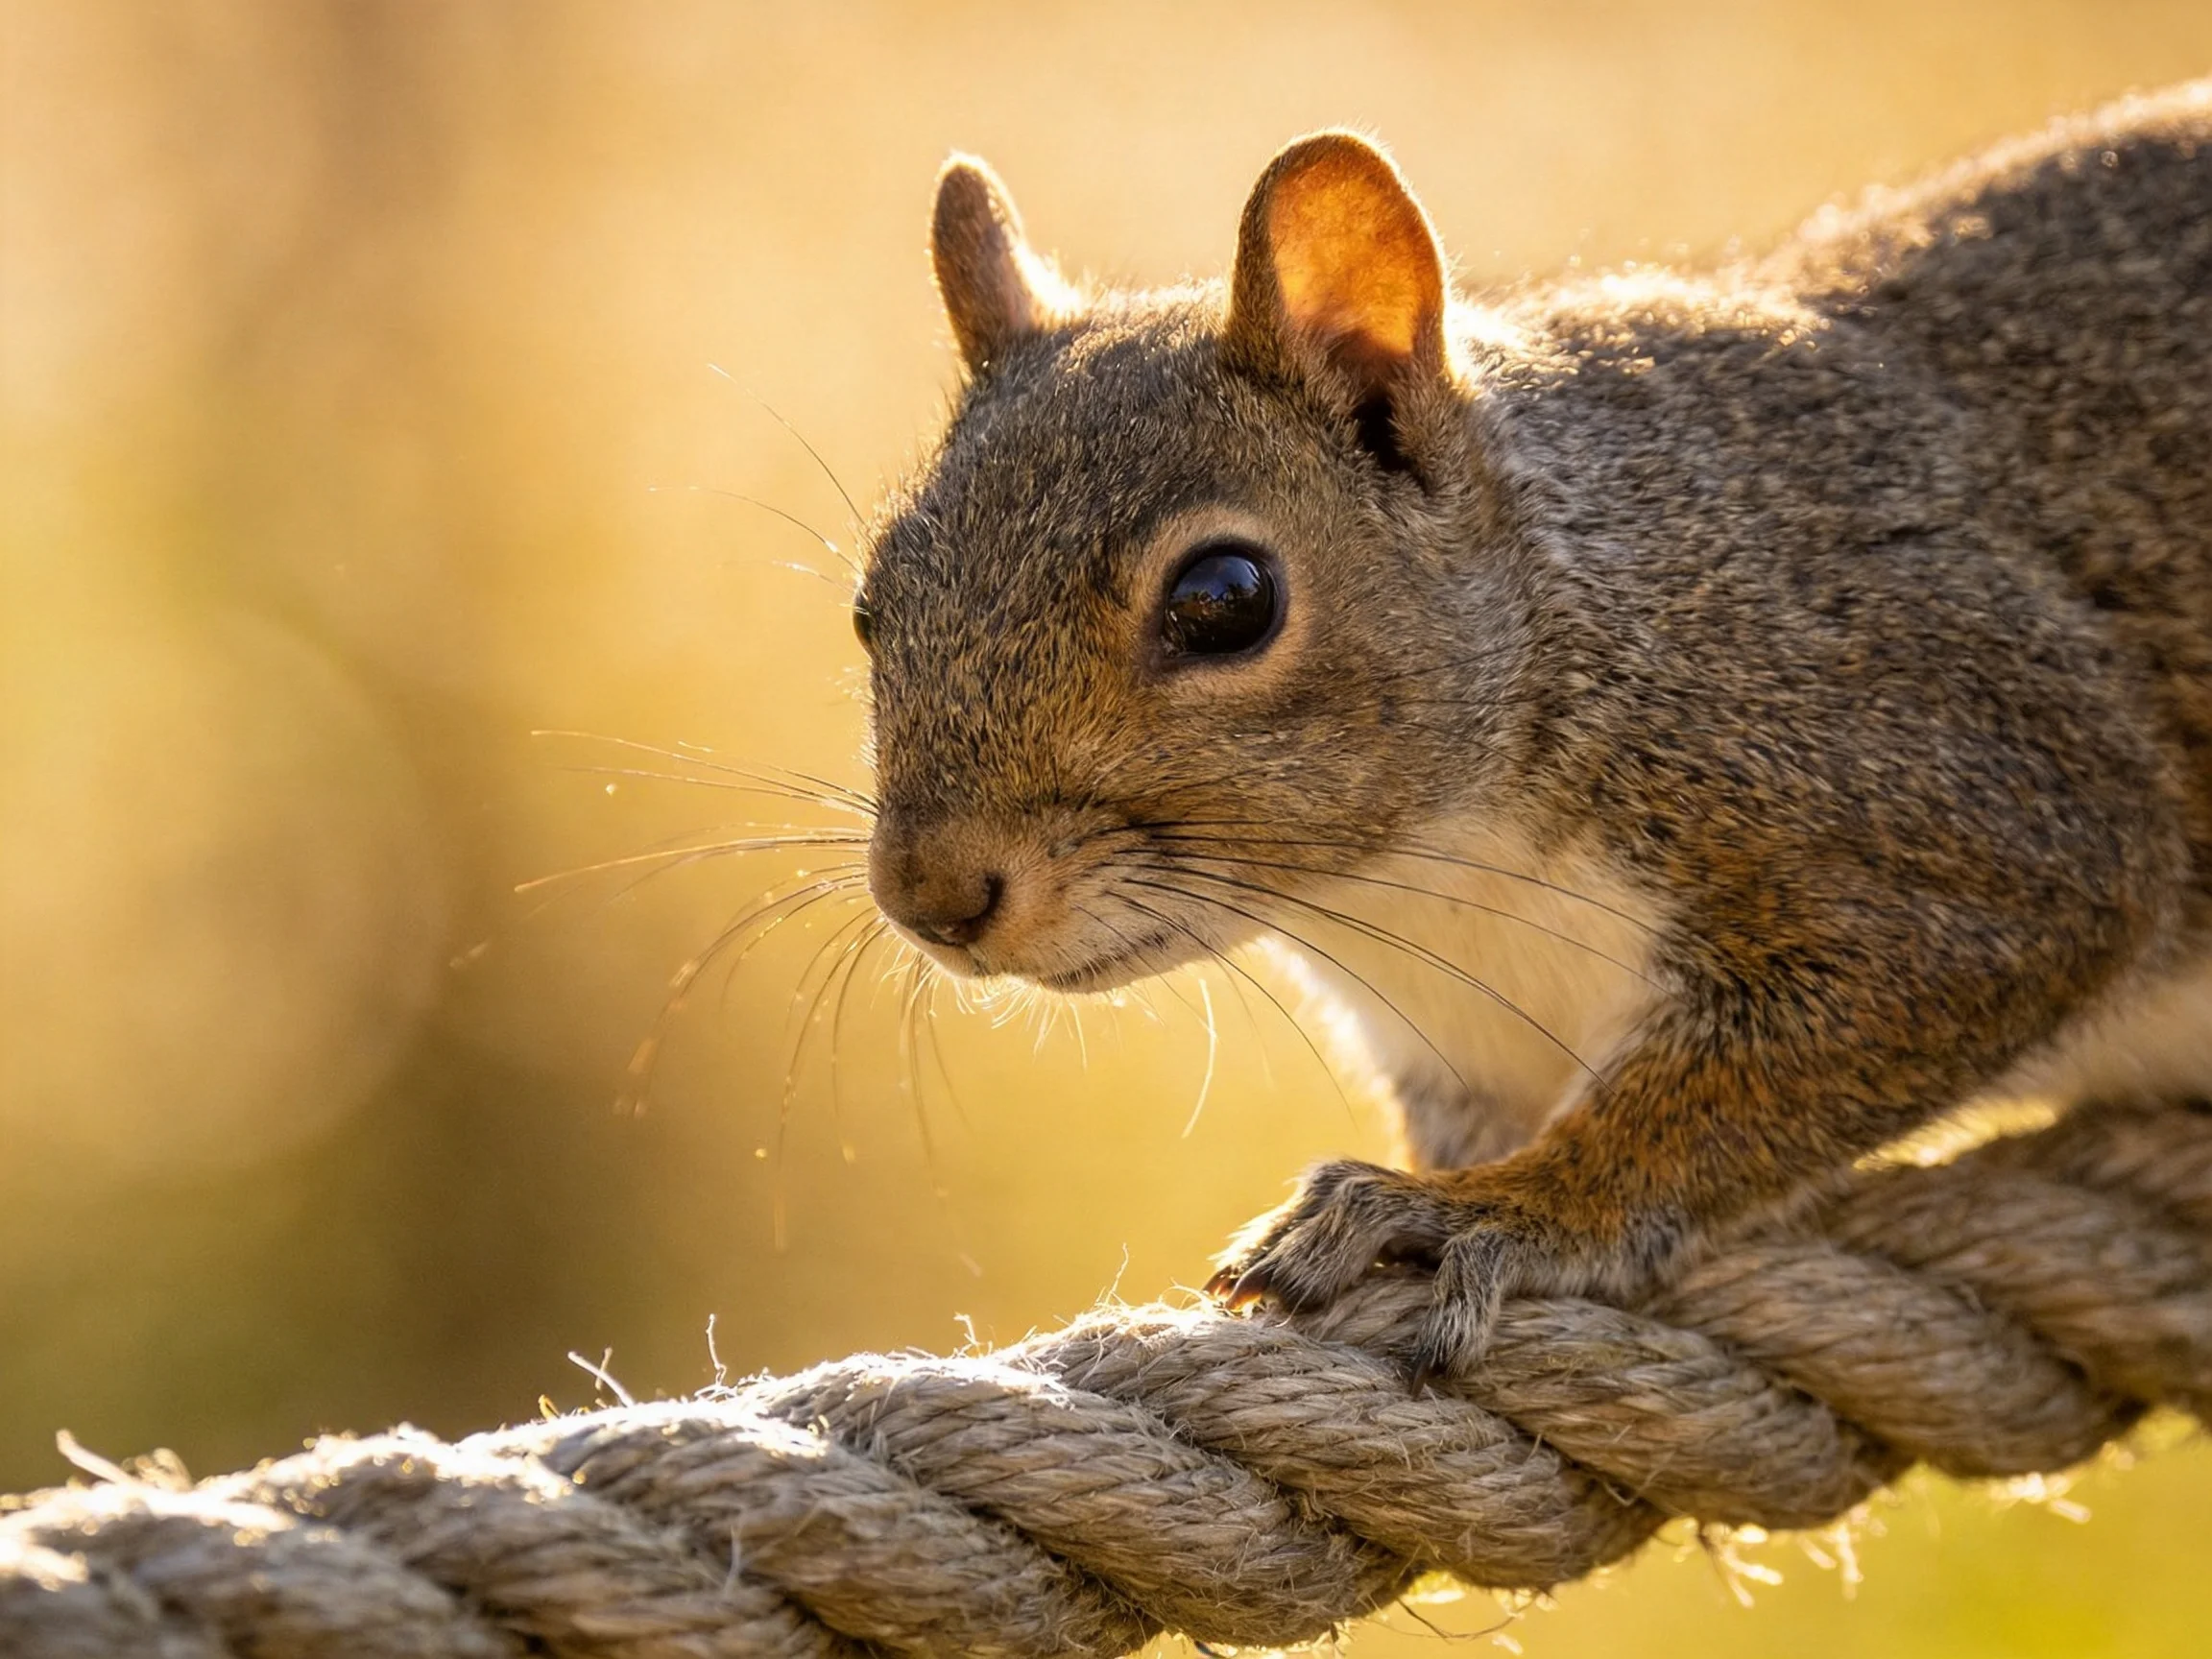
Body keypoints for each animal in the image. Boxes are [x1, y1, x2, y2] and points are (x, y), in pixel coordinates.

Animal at [849, 81, 2212, 1379]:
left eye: (1225, 600)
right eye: (872, 601)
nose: (933, 897)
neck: (1422, 885)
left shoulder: (1955, 794)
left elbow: (1755, 1083)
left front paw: (1497, 1208)